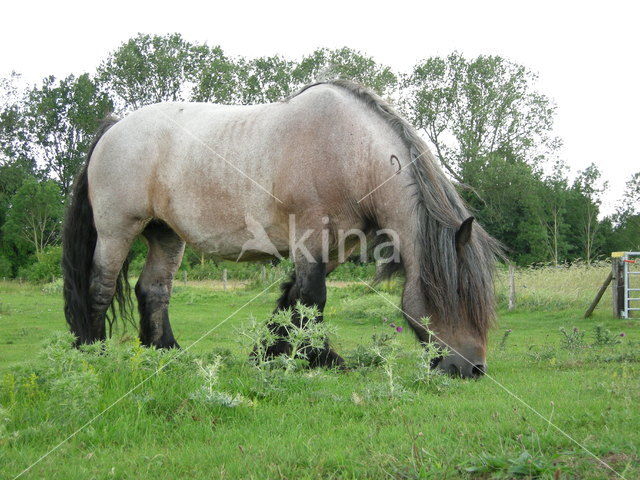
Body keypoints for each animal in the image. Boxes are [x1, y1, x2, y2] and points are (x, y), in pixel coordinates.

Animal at [61, 79, 500, 378]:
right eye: (456, 294)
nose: (473, 369)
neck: (349, 151)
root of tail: (114, 127)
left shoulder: (335, 247)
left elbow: (293, 300)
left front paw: (267, 354)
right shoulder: (310, 237)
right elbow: (312, 299)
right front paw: (324, 359)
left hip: (165, 234)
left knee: (153, 290)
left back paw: (166, 354)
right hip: (118, 231)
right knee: (100, 288)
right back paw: (93, 354)